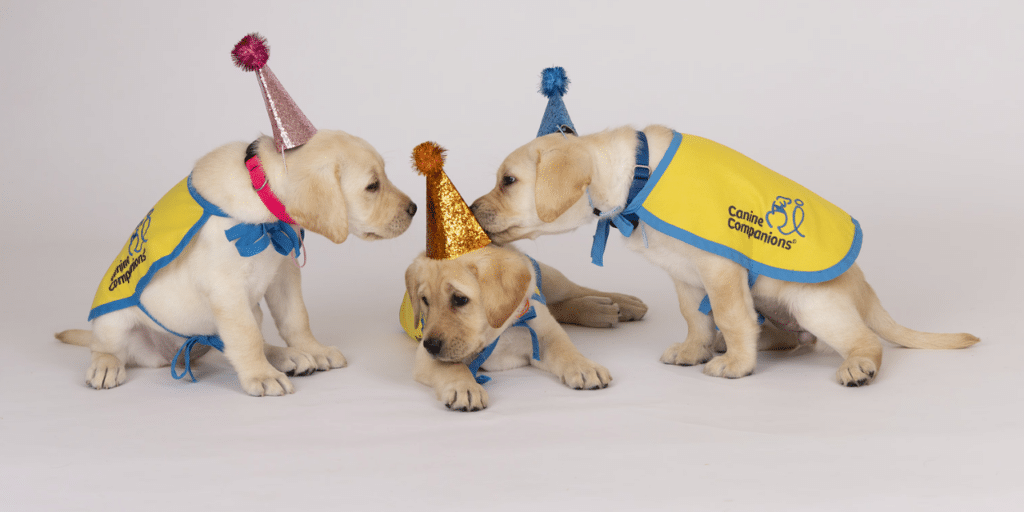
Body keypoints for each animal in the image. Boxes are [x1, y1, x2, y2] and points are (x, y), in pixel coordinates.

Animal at [55, 129, 415, 395]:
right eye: (372, 186)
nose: (413, 208)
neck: (264, 205)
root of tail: (176, 351)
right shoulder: (226, 290)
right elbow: (246, 337)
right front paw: (260, 376)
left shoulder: (284, 274)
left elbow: (295, 318)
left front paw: (313, 348)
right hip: (115, 320)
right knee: (104, 345)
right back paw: (105, 365)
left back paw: (288, 356)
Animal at [405, 244, 618, 411]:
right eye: (425, 301)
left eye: (459, 299)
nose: (431, 345)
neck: (497, 332)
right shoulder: (425, 355)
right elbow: (452, 366)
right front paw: (465, 387)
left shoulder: (543, 333)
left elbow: (564, 348)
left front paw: (585, 366)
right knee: (560, 305)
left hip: (552, 280)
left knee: (578, 291)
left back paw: (615, 306)